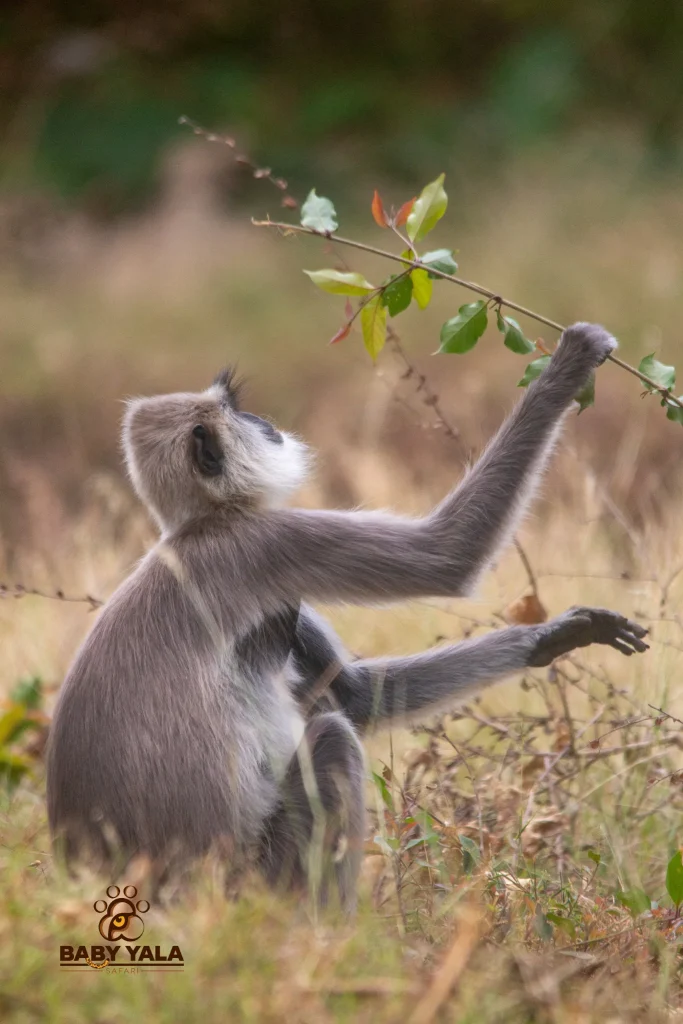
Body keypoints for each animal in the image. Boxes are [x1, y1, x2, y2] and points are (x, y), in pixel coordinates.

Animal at [46, 323, 648, 910]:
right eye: (238, 413)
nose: (265, 423)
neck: (200, 528)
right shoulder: (269, 545)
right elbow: (447, 557)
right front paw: (568, 367)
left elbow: (359, 697)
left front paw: (552, 637)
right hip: (256, 881)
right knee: (332, 737)